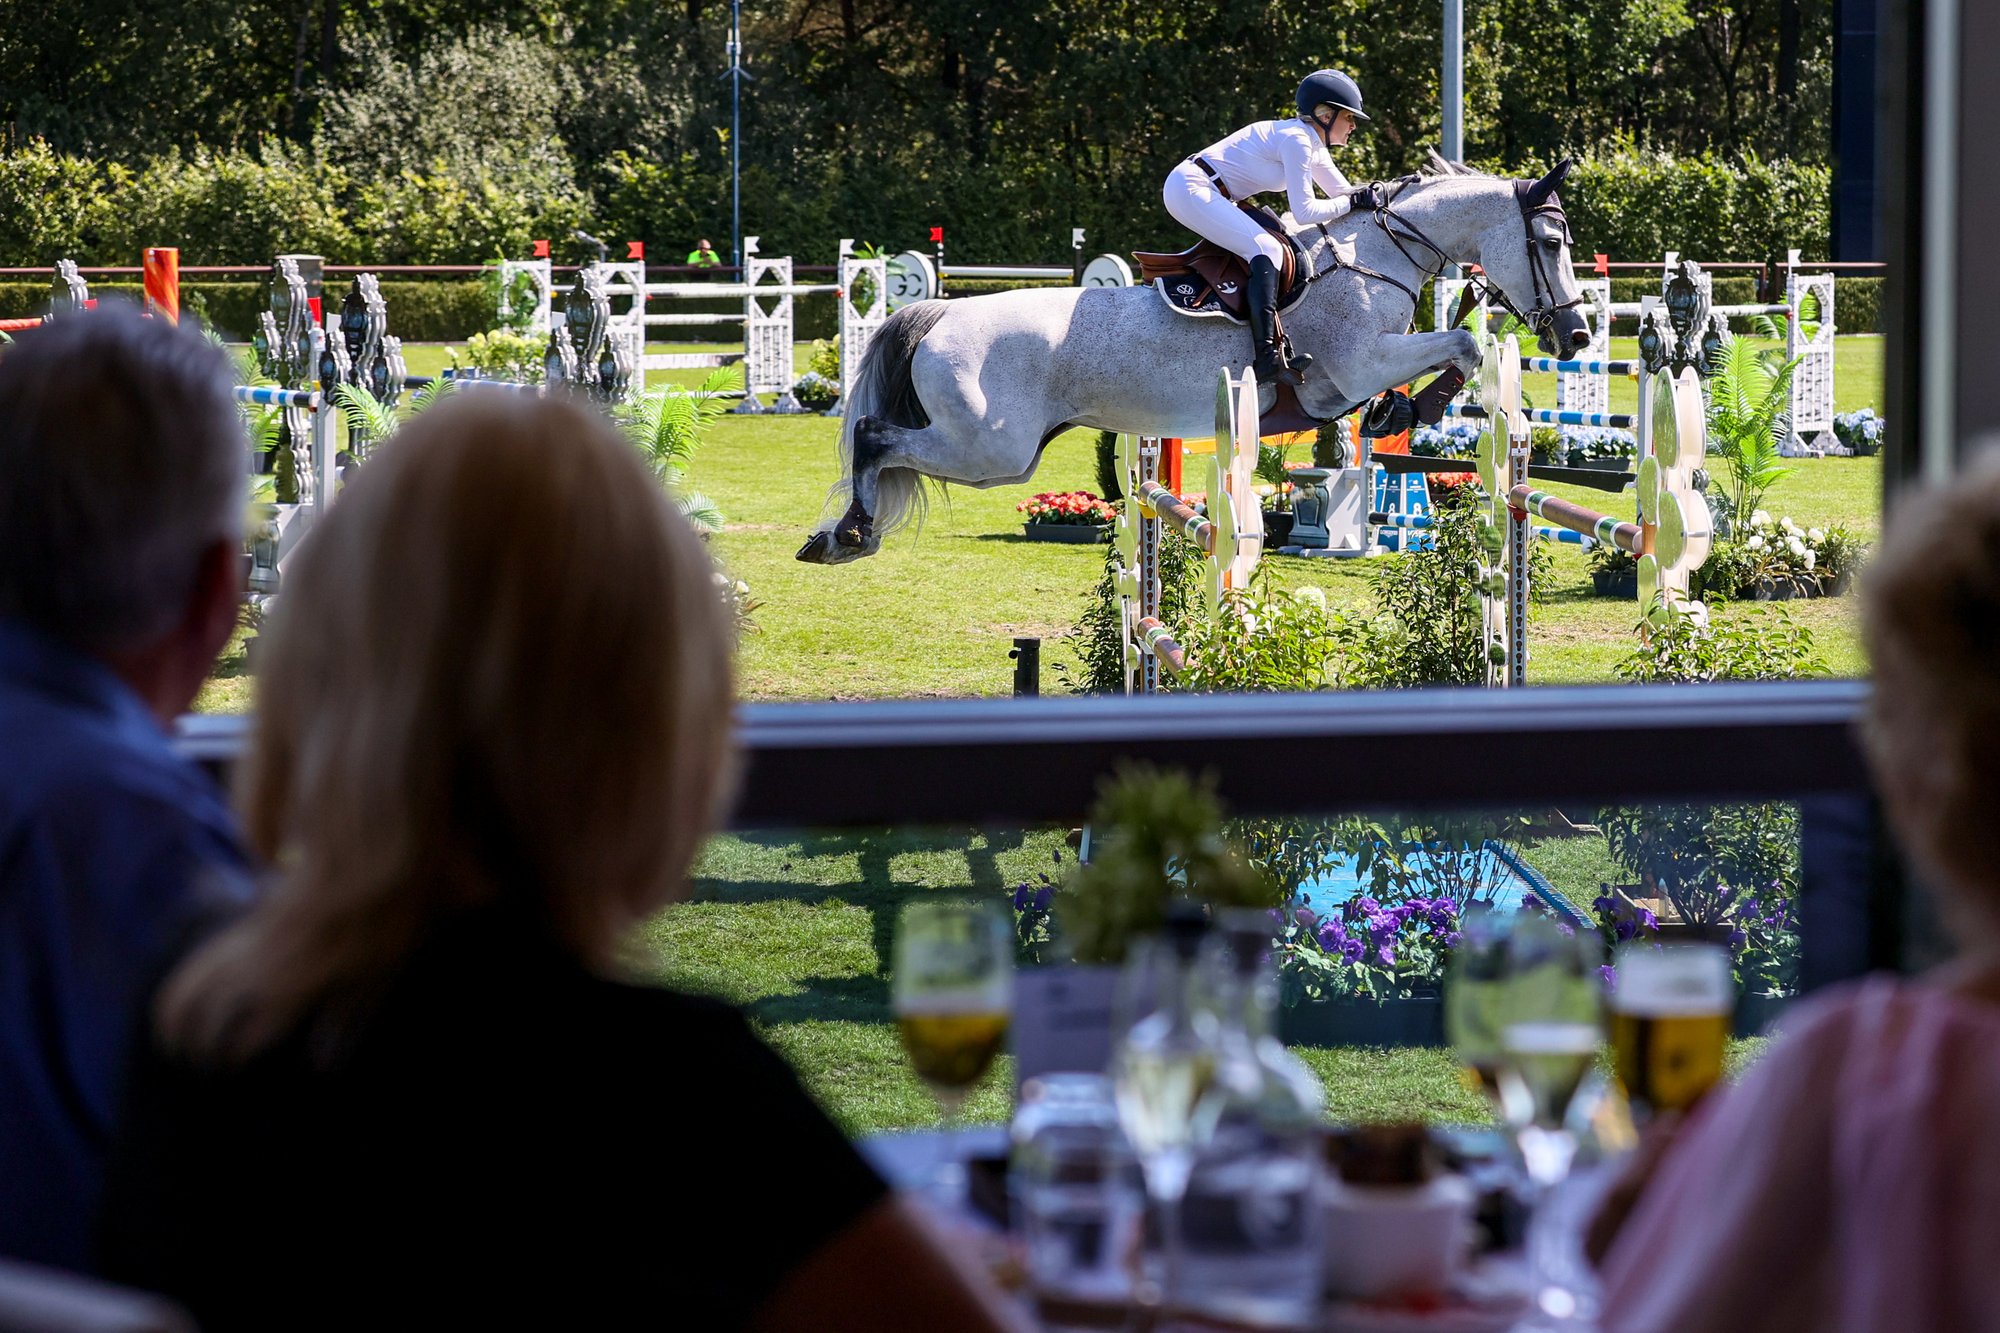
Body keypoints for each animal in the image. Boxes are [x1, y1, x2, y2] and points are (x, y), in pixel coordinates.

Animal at [796, 156, 1592, 560]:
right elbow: (1464, 341)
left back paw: (837, 536)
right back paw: (851, 533)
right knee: (874, 437)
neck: (1377, 252)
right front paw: (1410, 407)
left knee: (883, 445)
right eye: (1551, 243)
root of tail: (936, 313)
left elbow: (1463, 347)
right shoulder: (1355, 366)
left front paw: (1398, 411)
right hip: (991, 449)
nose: (1579, 337)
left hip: (995, 451)